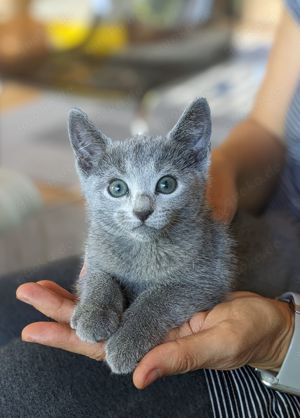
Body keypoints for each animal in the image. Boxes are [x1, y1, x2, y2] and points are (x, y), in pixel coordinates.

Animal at [67, 99, 300, 376]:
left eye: (166, 184)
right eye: (117, 188)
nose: (142, 211)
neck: (143, 250)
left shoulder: (207, 279)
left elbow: (157, 298)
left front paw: (125, 342)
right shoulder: (95, 253)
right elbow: (99, 276)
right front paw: (94, 314)